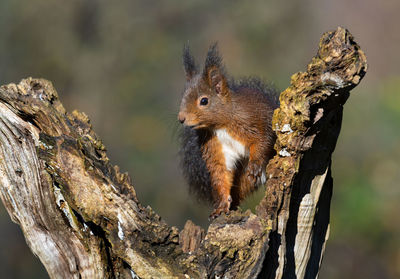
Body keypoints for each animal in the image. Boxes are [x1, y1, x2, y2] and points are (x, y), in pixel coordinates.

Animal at [178, 43, 278, 220]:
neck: (220, 125)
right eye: (183, 97)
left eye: (204, 101)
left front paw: (255, 164)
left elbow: (263, 140)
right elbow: (221, 173)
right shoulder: (215, 147)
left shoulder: (254, 121)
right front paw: (222, 205)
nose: (181, 118)